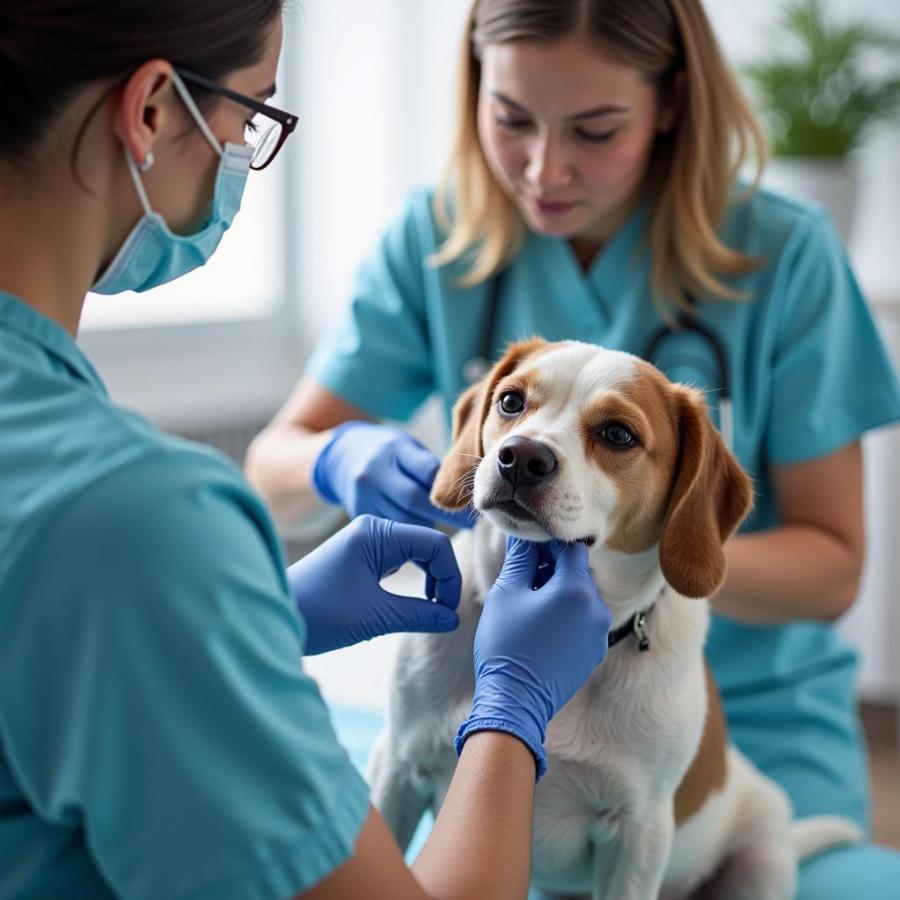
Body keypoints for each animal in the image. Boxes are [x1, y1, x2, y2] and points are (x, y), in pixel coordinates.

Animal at [370, 340, 860, 900]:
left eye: (618, 434)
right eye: (511, 402)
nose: (521, 456)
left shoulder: (637, 834)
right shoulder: (396, 768)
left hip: (762, 862)